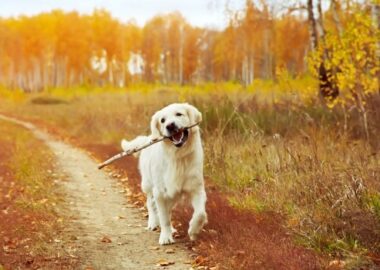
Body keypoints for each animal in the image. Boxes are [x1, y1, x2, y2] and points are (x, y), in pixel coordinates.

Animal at [121, 103, 208, 245]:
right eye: (162, 120)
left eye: (179, 114)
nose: (170, 126)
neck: (177, 156)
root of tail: (147, 138)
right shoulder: (160, 193)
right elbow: (164, 218)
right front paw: (166, 237)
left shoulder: (196, 189)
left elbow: (200, 213)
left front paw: (193, 231)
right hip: (148, 185)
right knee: (151, 204)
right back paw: (153, 223)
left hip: (173, 195)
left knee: (168, 210)